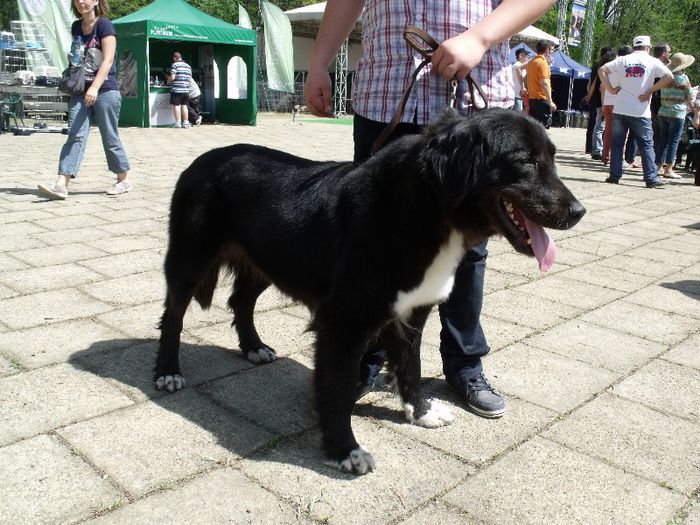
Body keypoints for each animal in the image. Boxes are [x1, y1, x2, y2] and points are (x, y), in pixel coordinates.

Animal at [157, 108, 584, 472]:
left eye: (552, 158)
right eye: (525, 161)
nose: (579, 212)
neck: (426, 209)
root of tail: (202, 160)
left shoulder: (412, 311)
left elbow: (411, 366)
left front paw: (420, 412)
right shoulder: (343, 322)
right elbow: (338, 386)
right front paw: (344, 450)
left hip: (266, 259)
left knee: (241, 300)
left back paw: (253, 347)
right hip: (188, 260)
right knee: (173, 316)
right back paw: (167, 372)